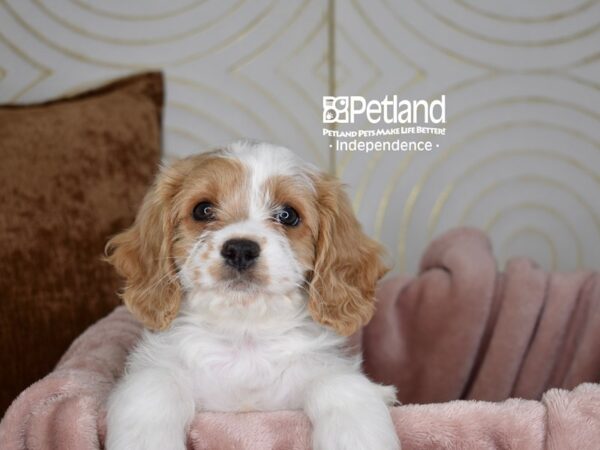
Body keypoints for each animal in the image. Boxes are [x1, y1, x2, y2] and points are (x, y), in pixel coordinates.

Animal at [105, 142, 400, 450]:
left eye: (287, 215)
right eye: (203, 210)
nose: (240, 249)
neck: (245, 335)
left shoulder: (327, 369)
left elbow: (343, 387)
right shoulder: (156, 370)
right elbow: (153, 388)